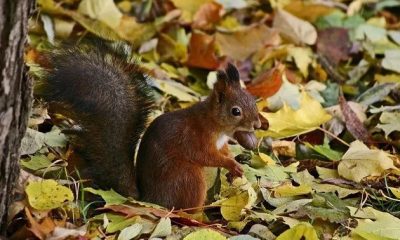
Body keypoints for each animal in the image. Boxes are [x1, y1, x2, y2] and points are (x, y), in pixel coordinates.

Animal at [36, 42, 262, 210]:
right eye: (235, 111)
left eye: (252, 100)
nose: (258, 124)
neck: (216, 125)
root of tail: (152, 199)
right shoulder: (195, 137)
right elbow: (205, 156)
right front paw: (231, 164)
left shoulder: (221, 142)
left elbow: (223, 152)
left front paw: (234, 165)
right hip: (187, 177)